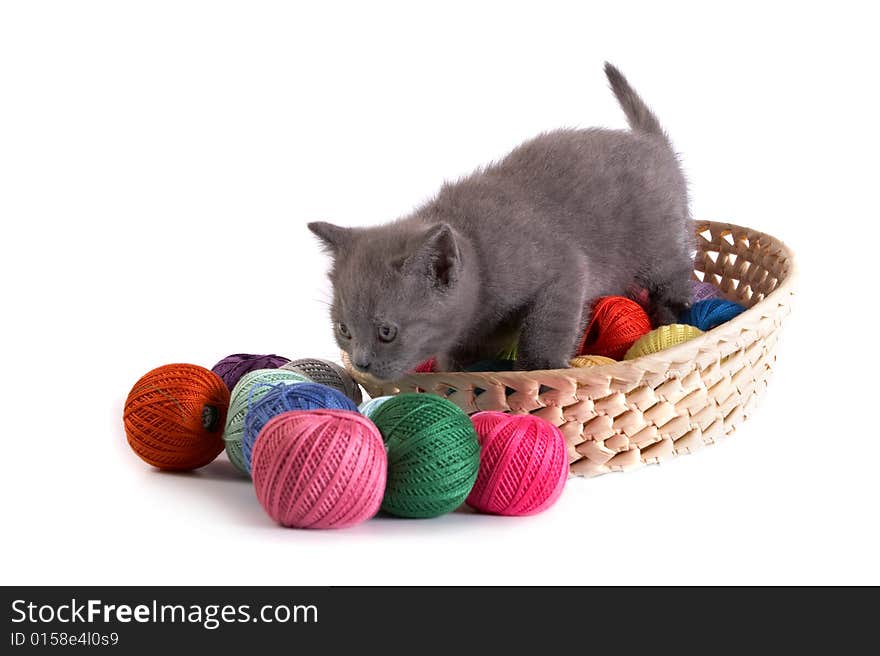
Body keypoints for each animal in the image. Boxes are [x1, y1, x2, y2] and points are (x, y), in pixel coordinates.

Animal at [312, 64, 692, 382]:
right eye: (344, 329)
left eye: (387, 332)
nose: (361, 362)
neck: (481, 257)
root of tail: (650, 142)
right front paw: (458, 369)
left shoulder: (565, 270)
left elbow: (547, 325)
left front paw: (541, 368)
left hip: (658, 246)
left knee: (675, 273)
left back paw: (673, 313)